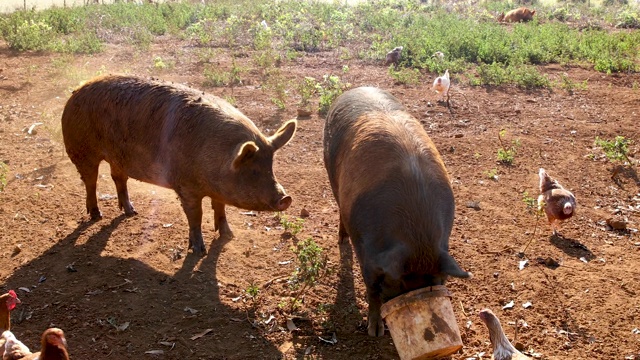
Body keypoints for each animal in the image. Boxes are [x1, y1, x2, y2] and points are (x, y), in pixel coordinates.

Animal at [61, 75, 296, 256]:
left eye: (271, 167)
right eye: (253, 171)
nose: (285, 198)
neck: (215, 159)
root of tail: (75, 92)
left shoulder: (217, 189)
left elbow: (220, 208)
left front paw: (229, 235)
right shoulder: (186, 187)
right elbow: (196, 215)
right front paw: (199, 251)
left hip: (118, 157)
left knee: (118, 178)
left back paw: (131, 212)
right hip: (81, 150)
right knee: (90, 182)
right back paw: (96, 215)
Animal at [324, 86, 470, 338]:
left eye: (436, 282)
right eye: (398, 284)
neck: (416, 237)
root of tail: (357, 88)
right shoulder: (366, 252)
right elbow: (371, 289)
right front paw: (375, 332)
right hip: (330, 172)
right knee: (339, 209)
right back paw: (341, 239)